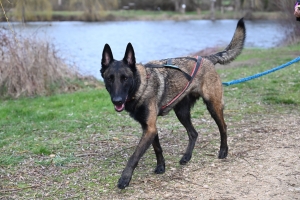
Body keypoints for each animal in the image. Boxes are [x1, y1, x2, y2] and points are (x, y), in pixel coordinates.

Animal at [101, 17, 246, 189]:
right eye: (110, 78)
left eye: (125, 78)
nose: (117, 100)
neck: (141, 85)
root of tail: (206, 59)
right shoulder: (149, 128)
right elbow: (157, 148)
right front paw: (161, 167)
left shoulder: (149, 129)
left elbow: (134, 156)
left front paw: (124, 178)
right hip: (182, 112)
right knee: (193, 133)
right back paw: (186, 157)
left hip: (212, 106)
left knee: (223, 127)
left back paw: (223, 151)